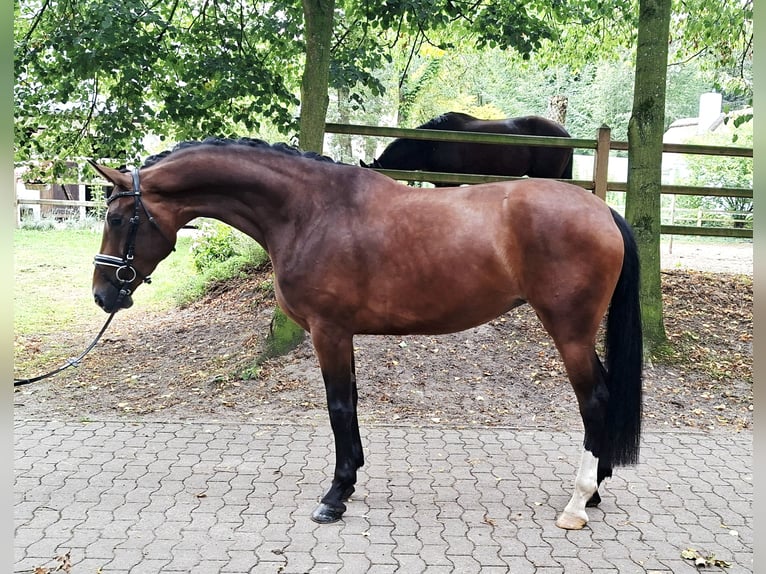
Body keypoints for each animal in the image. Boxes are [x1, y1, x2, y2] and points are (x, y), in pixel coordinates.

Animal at [89, 137, 642, 530]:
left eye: (116, 216)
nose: (102, 295)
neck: (310, 212)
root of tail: (603, 210)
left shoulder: (328, 331)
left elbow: (338, 407)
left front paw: (334, 498)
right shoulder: (343, 335)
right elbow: (350, 403)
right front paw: (349, 483)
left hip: (569, 332)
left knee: (594, 400)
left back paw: (577, 503)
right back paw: (597, 487)